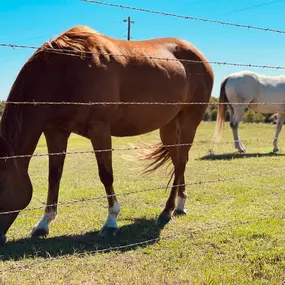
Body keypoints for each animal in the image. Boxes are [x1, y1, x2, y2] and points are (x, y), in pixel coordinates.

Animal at [0, 25, 212, 244]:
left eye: (1, 184)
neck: (66, 70)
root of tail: (200, 57)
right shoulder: (55, 131)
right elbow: (54, 175)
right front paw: (43, 224)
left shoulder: (99, 129)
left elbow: (106, 174)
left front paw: (111, 222)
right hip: (169, 127)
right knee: (179, 160)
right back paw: (180, 204)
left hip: (189, 121)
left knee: (180, 162)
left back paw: (167, 211)